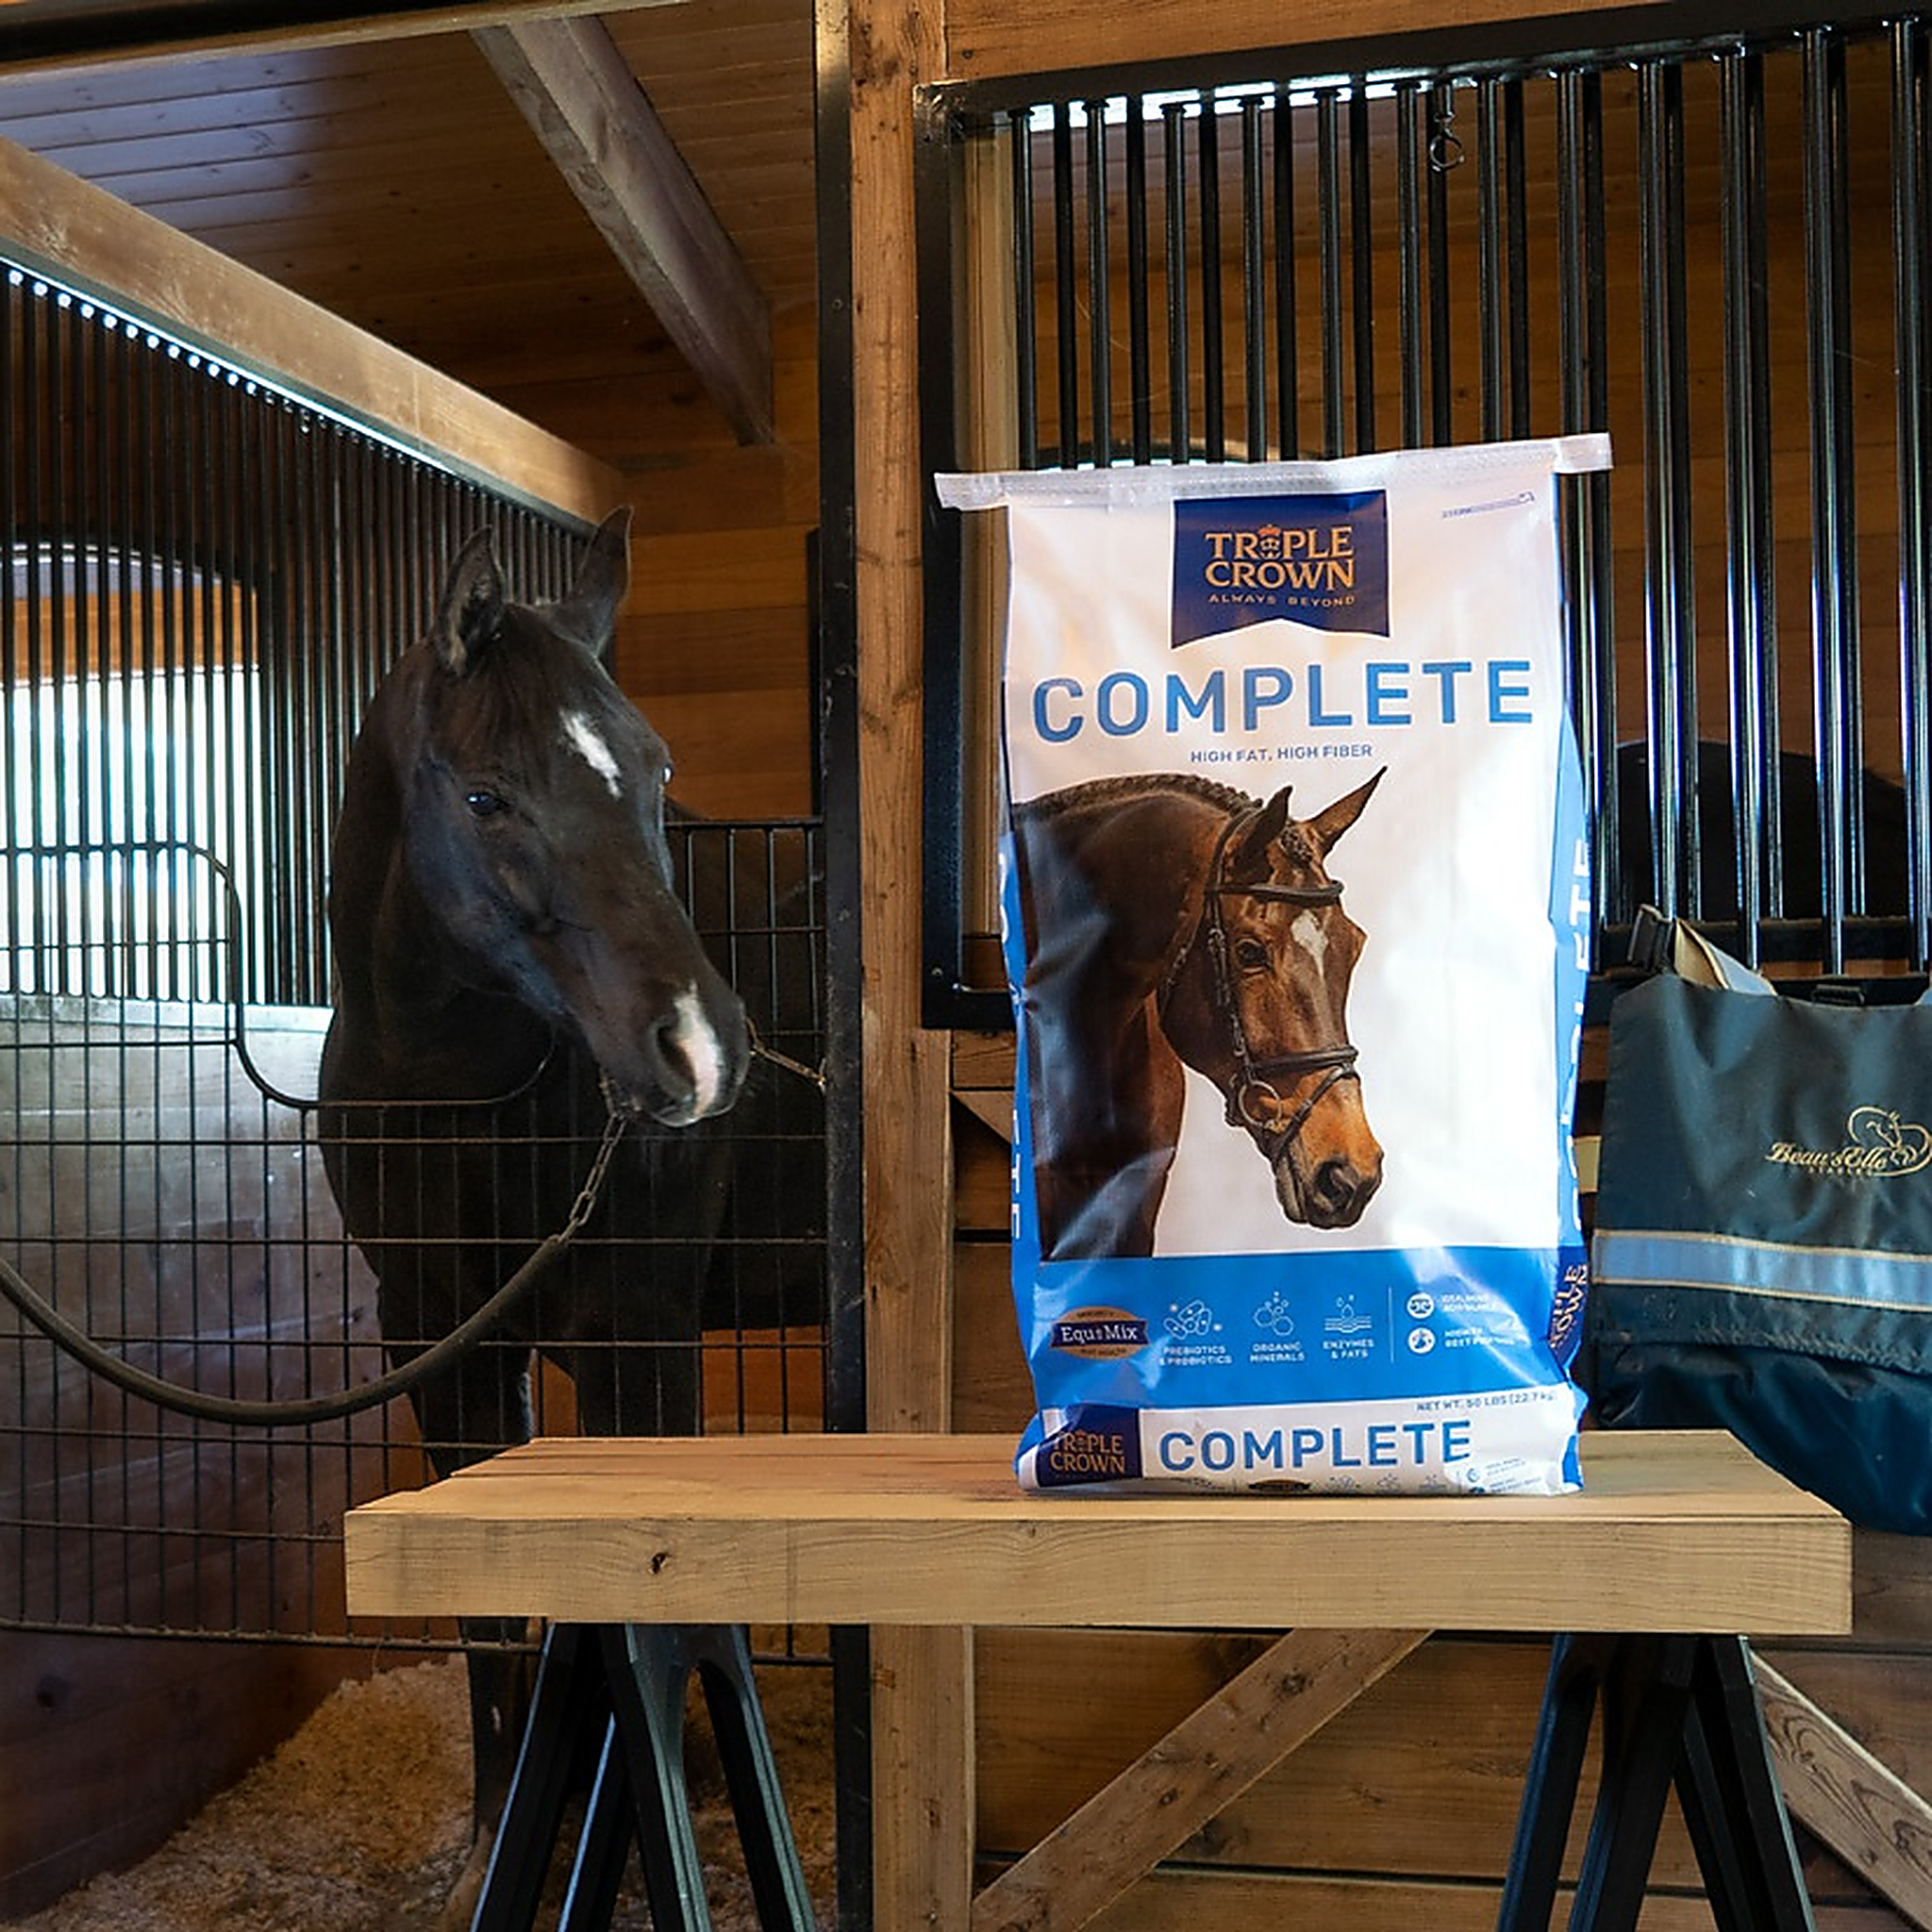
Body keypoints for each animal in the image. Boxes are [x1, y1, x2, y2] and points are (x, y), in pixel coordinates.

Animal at [317, 508, 755, 1923]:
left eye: (653, 772)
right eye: (485, 795)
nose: (700, 1051)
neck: (458, 1094)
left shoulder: (641, 1341)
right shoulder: (447, 1341)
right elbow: (493, 1616)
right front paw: (500, 1839)